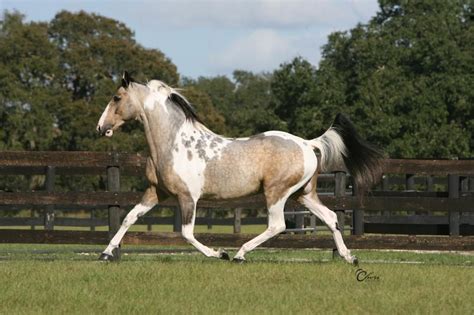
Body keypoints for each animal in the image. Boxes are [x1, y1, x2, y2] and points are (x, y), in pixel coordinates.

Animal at [97, 71, 386, 264]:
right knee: (331, 217)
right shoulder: (156, 191)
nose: (101, 127)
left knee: (278, 225)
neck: (174, 142)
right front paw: (106, 253)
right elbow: (129, 217)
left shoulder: (188, 197)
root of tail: (307, 143)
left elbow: (187, 233)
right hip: (303, 194)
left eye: (116, 97)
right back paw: (349, 257)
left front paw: (219, 253)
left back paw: (239, 254)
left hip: (277, 193)